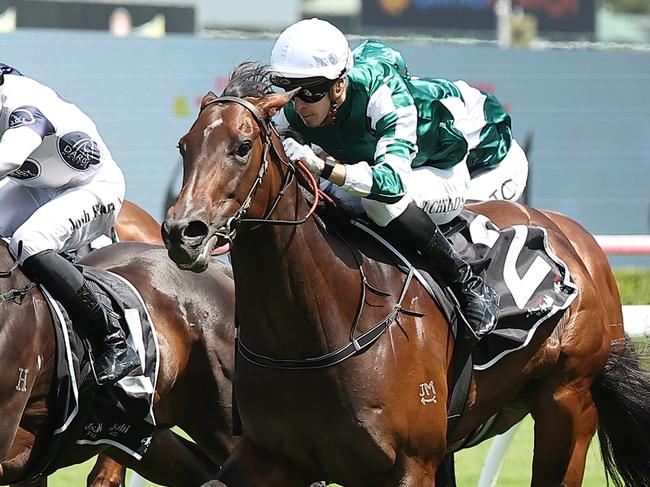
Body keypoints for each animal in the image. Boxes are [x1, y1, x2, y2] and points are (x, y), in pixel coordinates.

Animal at [163, 63, 648, 487]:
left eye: (242, 147)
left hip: (567, 403)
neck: (316, 329)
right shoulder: (269, 457)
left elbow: (388, 184)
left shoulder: (410, 465)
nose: (183, 232)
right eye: (184, 145)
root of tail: (574, 238)